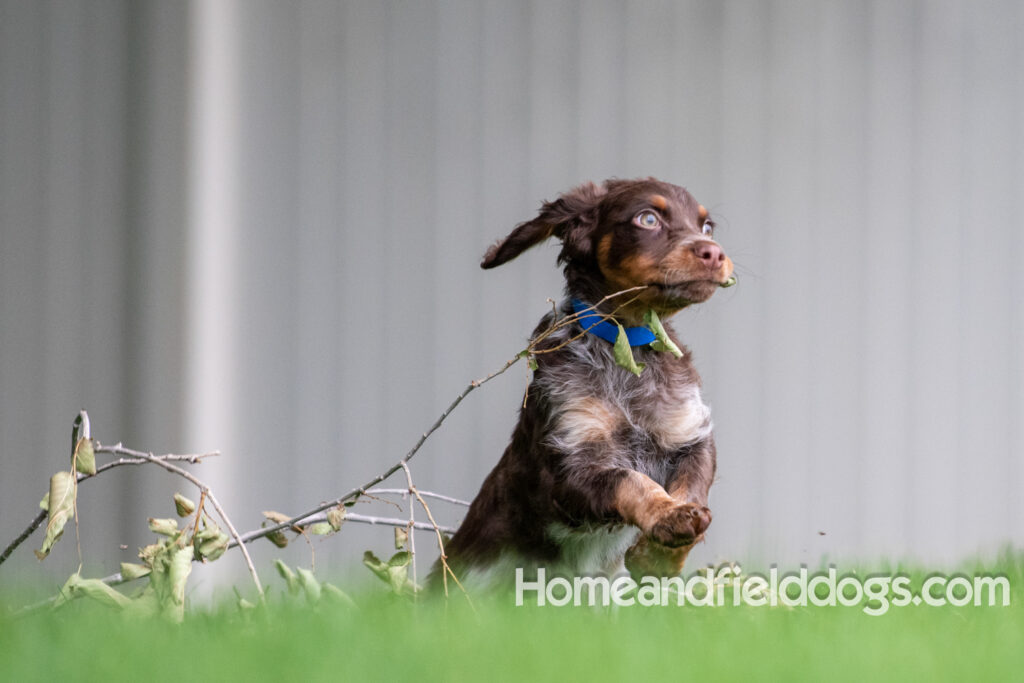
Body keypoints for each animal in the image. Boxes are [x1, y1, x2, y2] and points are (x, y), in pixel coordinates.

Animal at [436, 178, 733, 593]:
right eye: (648, 218)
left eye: (707, 227)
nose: (714, 253)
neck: (627, 344)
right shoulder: (568, 467)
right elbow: (629, 480)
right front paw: (666, 516)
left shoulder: (692, 437)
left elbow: (693, 490)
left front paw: (659, 553)